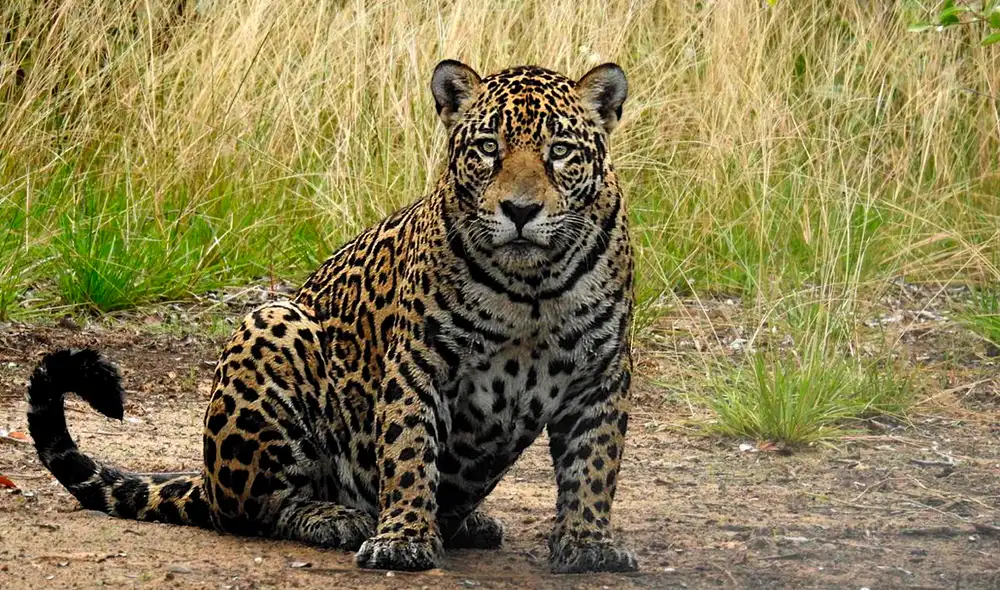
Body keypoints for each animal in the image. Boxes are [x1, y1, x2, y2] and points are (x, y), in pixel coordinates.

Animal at [27, 59, 637, 574]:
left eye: (560, 150)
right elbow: (409, 451)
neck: (530, 290)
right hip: (272, 325)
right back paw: (340, 519)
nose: (520, 210)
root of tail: (204, 477)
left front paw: (589, 545)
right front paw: (403, 539)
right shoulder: (418, 363)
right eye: (488, 147)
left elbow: (594, 463)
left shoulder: (601, 373)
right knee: (255, 508)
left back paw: (468, 522)